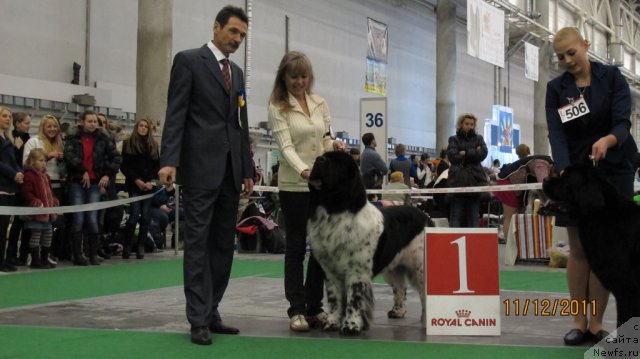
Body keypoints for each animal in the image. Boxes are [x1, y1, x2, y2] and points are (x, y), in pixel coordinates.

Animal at [308, 150, 432, 336]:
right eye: (323, 156)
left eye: (337, 162)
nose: (319, 159)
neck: (335, 210)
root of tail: (426, 216)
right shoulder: (330, 271)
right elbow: (334, 299)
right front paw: (332, 323)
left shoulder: (356, 271)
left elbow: (354, 299)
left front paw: (351, 325)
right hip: (392, 268)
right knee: (400, 287)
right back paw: (398, 311)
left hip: (420, 267)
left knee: (424, 292)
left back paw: (426, 319)